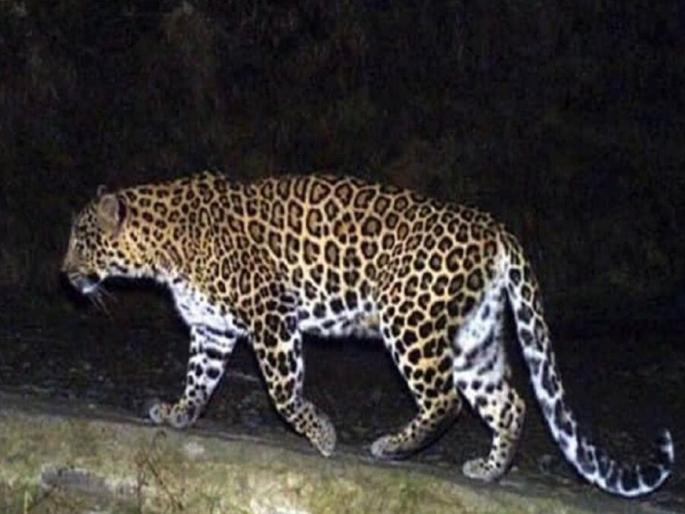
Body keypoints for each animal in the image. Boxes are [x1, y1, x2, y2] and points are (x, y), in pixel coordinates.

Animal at [62, 171, 673, 497]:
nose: (65, 274)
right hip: (473, 337)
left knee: (446, 400)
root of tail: (495, 227)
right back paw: (489, 470)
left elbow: (283, 391)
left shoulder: (271, 312)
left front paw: (323, 435)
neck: (161, 247)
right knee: (510, 402)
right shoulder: (211, 329)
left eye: (82, 241)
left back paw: (392, 446)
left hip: (410, 319)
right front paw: (177, 414)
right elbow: (197, 380)